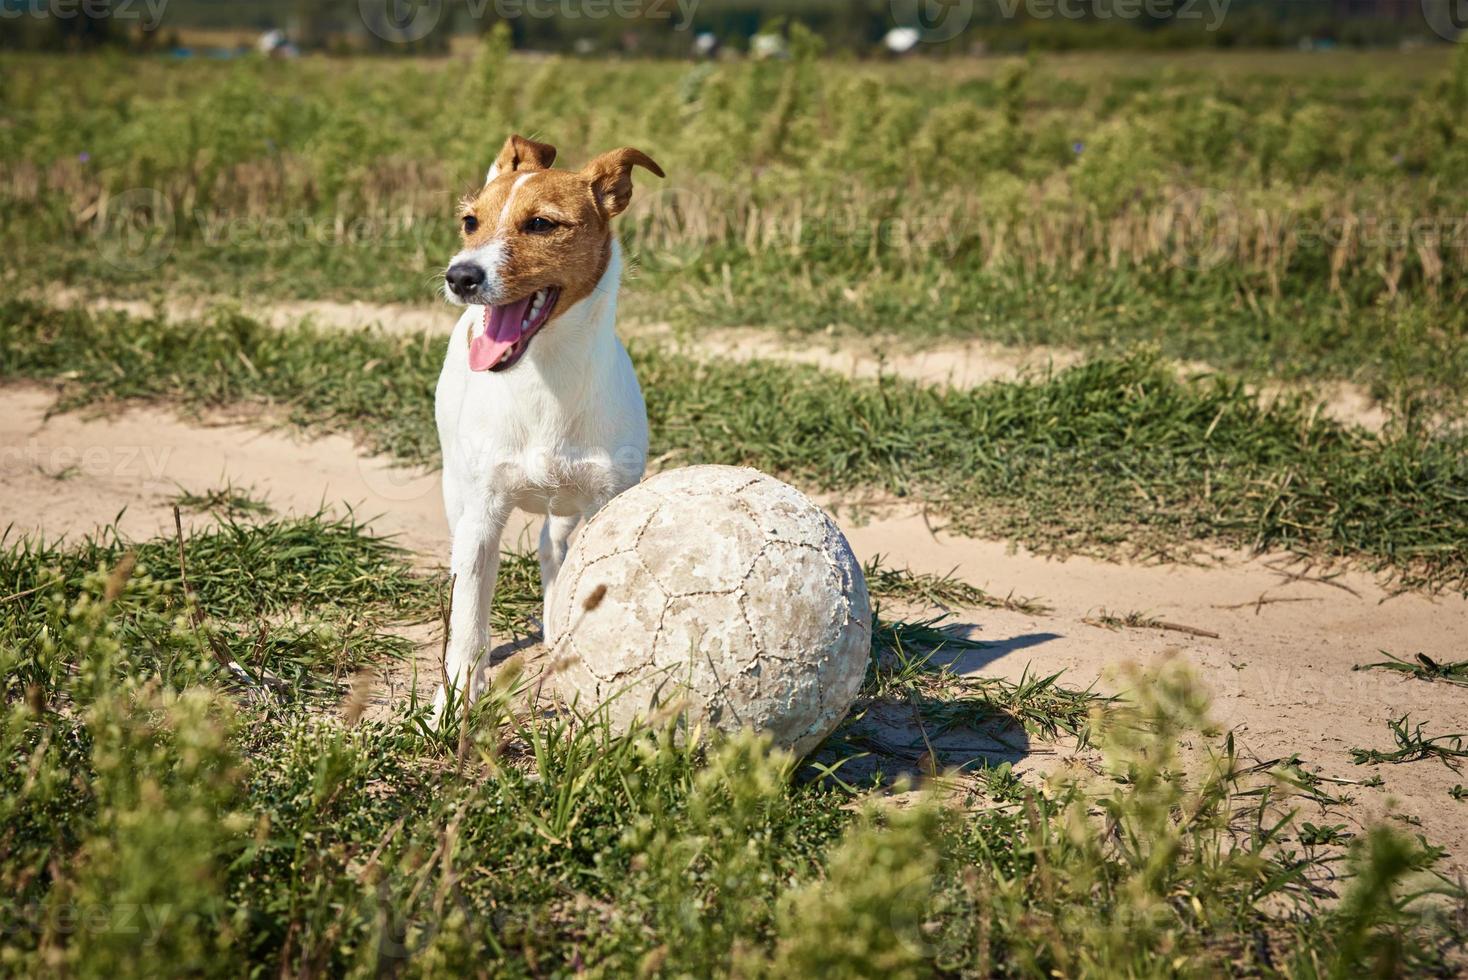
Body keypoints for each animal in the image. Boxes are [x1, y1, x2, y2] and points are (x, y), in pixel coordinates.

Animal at [431, 134, 663, 718]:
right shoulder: (482, 516)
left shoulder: (607, 500)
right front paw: (455, 700)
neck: (545, 382)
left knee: (552, 547)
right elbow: (470, 620)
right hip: (456, 490)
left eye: (540, 224)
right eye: (470, 221)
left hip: (570, 505)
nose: (460, 276)